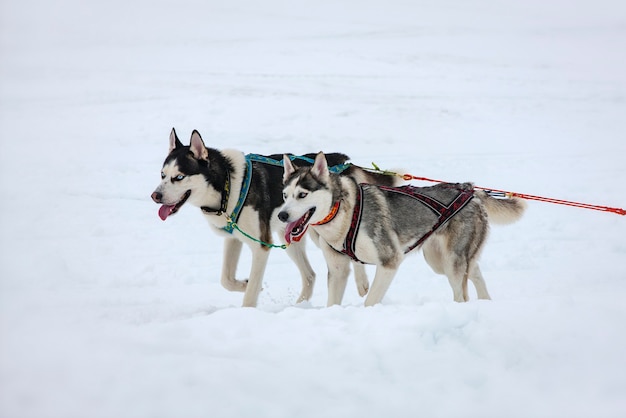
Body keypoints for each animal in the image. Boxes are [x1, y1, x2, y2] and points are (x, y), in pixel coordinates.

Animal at [151, 128, 394, 306]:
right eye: (162, 175)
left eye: (179, 177)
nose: (155, 196)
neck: (228, 184)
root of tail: (342, 161)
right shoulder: (233, 239)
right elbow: (226, 280)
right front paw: (245, 283)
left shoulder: (262, 246)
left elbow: (250, 294)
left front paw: (249, 300)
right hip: (290, 236)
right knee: (310, 275)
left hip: (320, 232)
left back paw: (361, 283)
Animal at [276, 152, 524, 306]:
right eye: (285, 195)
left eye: (302, 195)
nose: (281, 215)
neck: (342, 213)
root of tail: (470, 190)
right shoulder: (338, 270)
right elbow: (333, 302)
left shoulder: (389, 261)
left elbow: (370, 301)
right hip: (439, 260)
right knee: (475, 272)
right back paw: (485, 302)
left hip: (452, 261)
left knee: (461, 292)